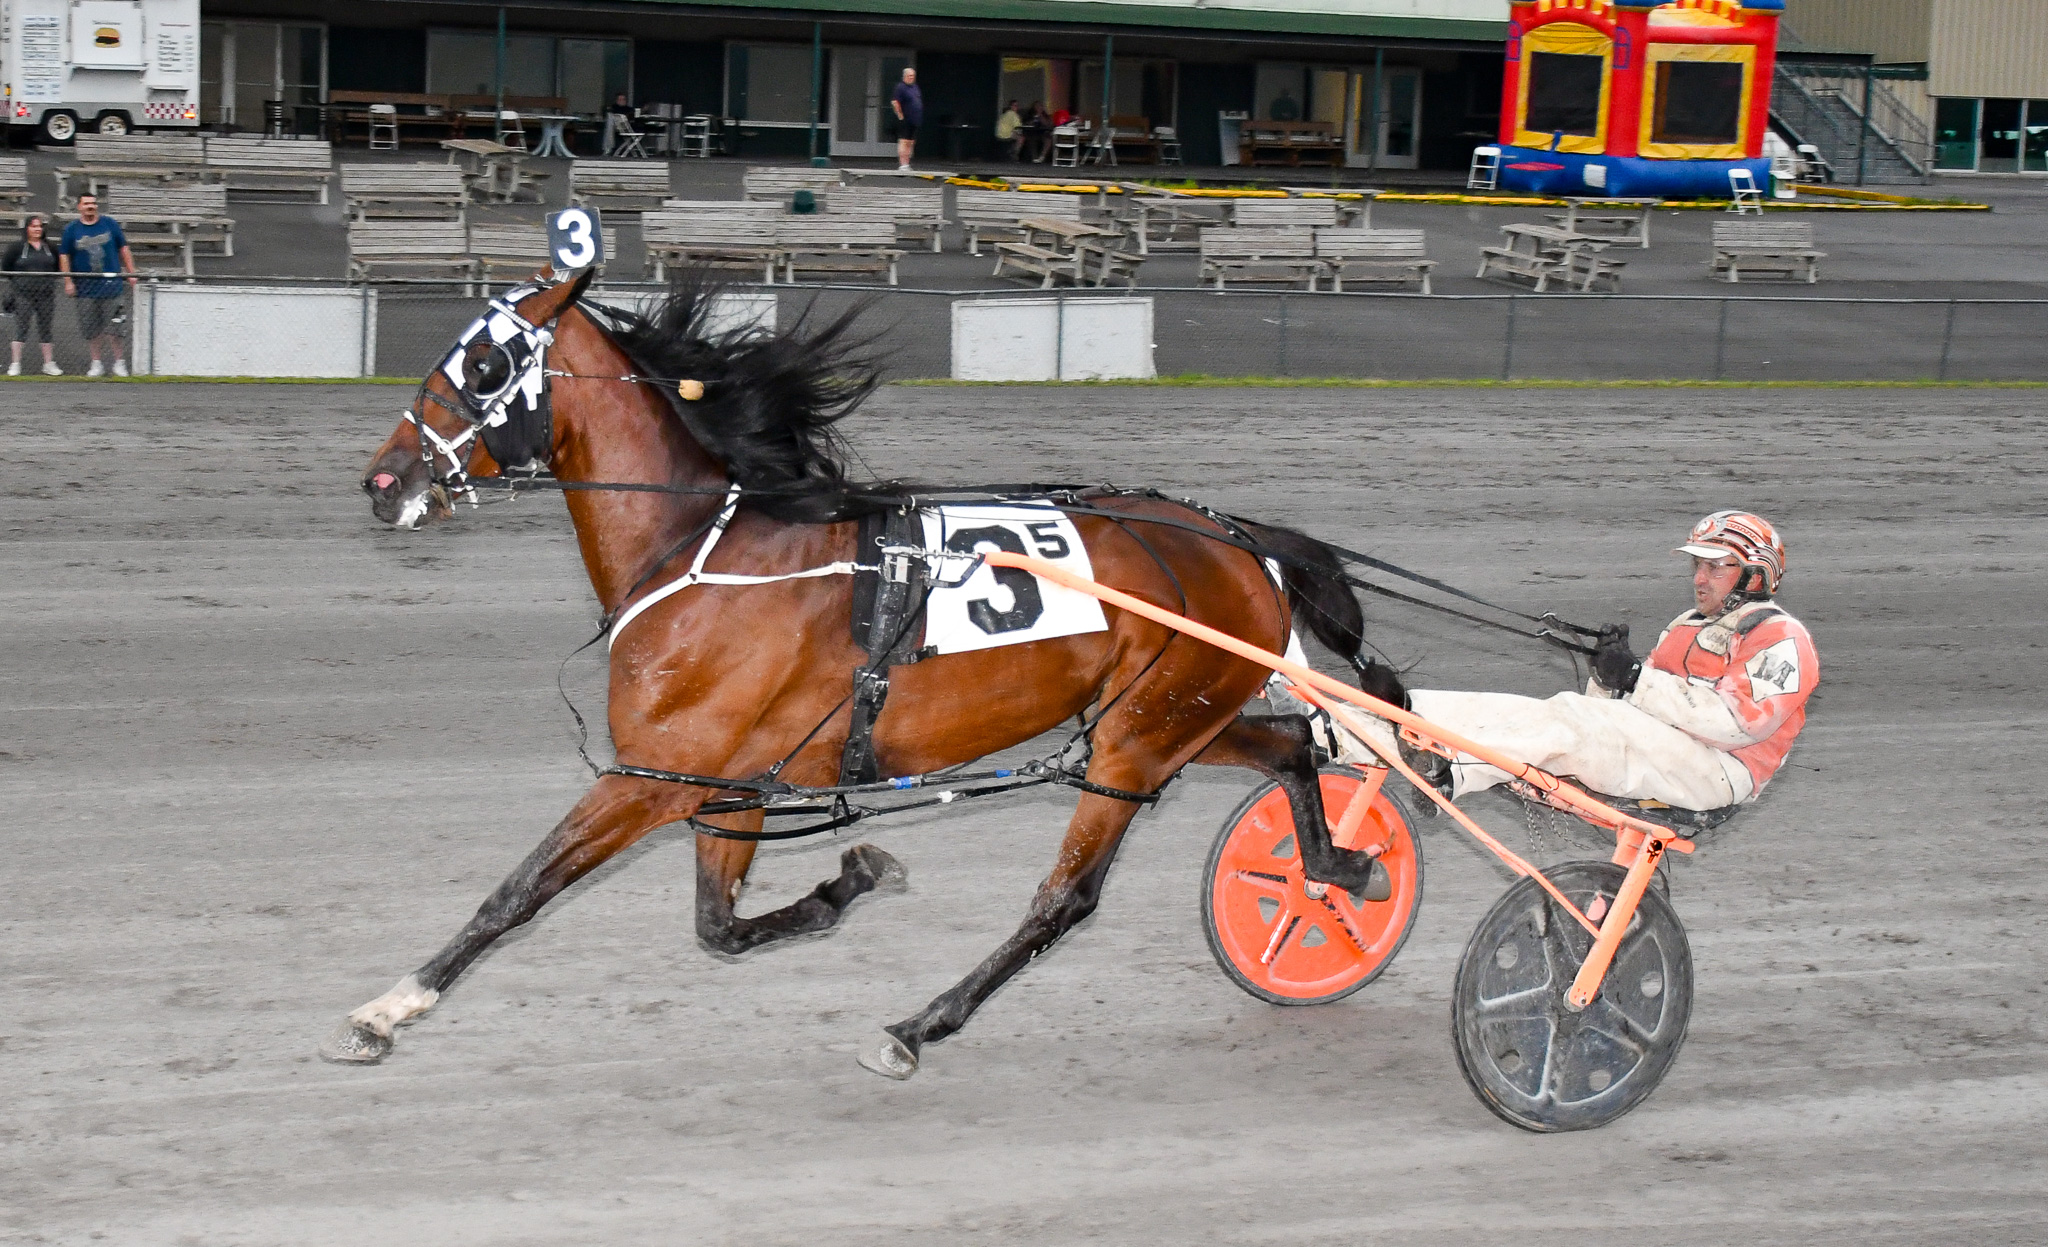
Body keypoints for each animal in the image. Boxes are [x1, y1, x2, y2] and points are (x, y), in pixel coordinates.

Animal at [335, 271, 1407, 1078]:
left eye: (485, 364)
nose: (384, 482)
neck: (703, 549)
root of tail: (1239, 538)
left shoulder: (649, 777)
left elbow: (517, 891)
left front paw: (388, 1007)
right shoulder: (724, 785)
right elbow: (718, 926)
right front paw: (850, 877)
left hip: (1136, 743)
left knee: (1067, 897)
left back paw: (916, 1025)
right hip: (1170, 715)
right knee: (1292, 743)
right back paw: (1339, 866)